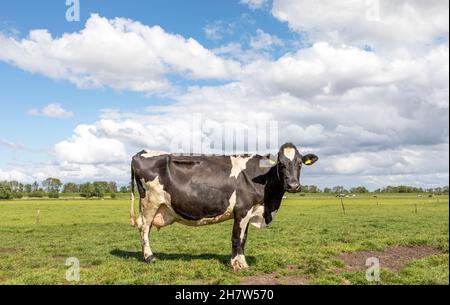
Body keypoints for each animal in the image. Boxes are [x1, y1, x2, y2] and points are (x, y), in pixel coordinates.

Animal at [130, 141, 318, 270]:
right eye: (281, 164)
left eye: (300, 164)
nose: (293, 186)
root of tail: (141, 153)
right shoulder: (241, 210)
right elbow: (236, 237)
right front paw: (235, 265)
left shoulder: (250, 211)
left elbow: (244, 238)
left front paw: (243, 262)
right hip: (150, 203)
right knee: (144, 228)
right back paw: (149, 257)